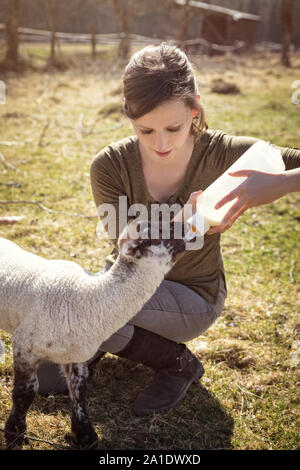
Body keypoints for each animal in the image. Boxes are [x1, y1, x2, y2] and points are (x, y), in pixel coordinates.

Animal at [0, 219, 188, 448]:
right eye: (159, 230)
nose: (189, 227)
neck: (88, 298)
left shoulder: (78, 353)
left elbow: (79, 392)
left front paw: (85, 435)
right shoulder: (25, 345)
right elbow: (25, 391)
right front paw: (15, 433)